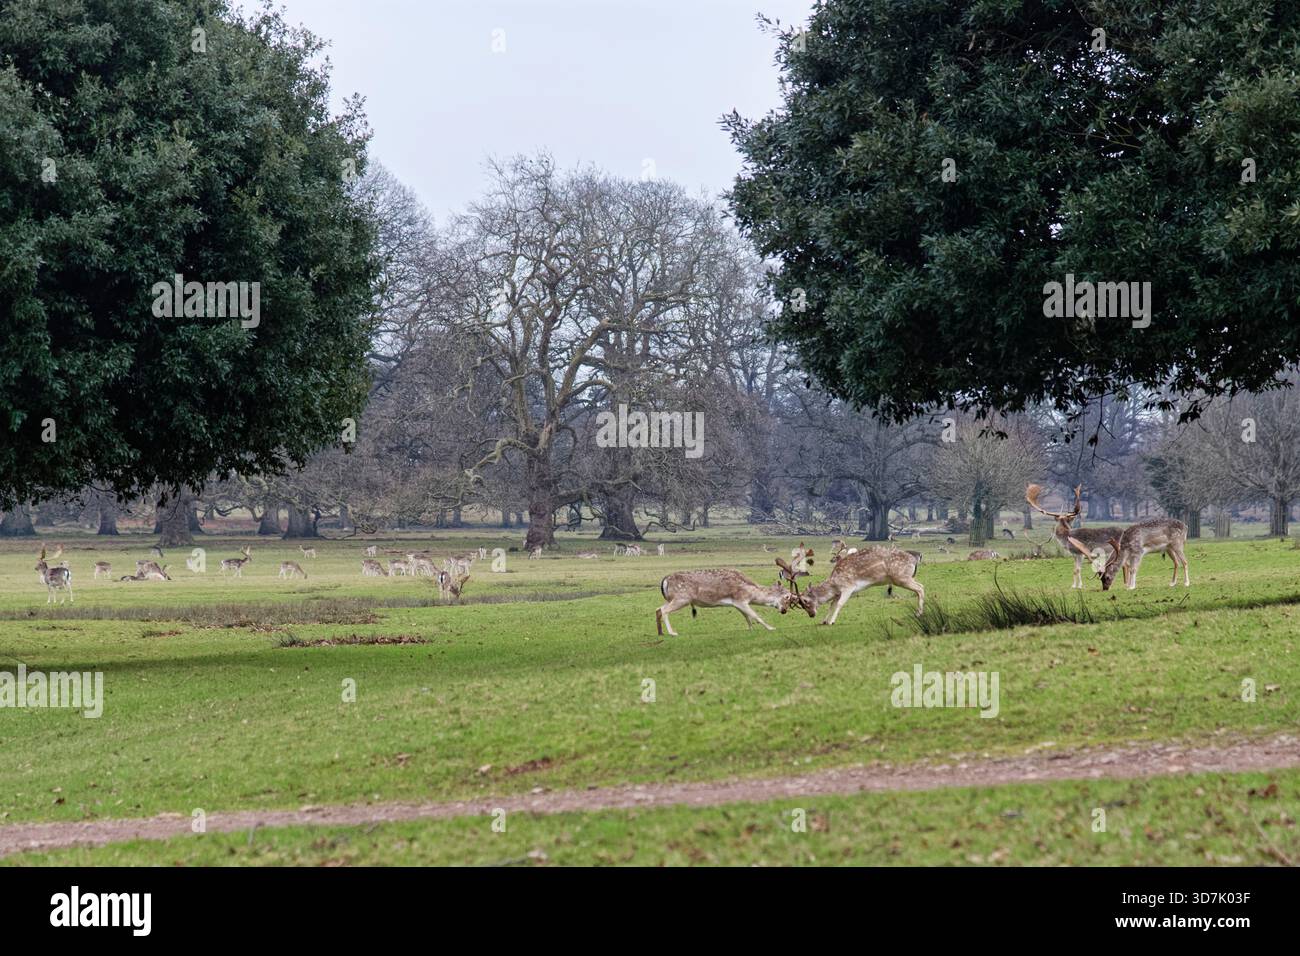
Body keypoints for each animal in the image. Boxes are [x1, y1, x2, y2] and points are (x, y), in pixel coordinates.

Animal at [656, 562, 805, 636]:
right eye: (787, 597)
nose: (784, 610)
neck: (751, 592)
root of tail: (664, 581)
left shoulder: (736, 604)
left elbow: (747, 616)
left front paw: (751, 629)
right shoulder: (740, 599)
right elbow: (755, 615)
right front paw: (771, 628)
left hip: (672, 599)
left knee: (658, 608)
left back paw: (661, 633)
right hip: (682, 598)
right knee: (664, 610)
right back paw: (672, 632)